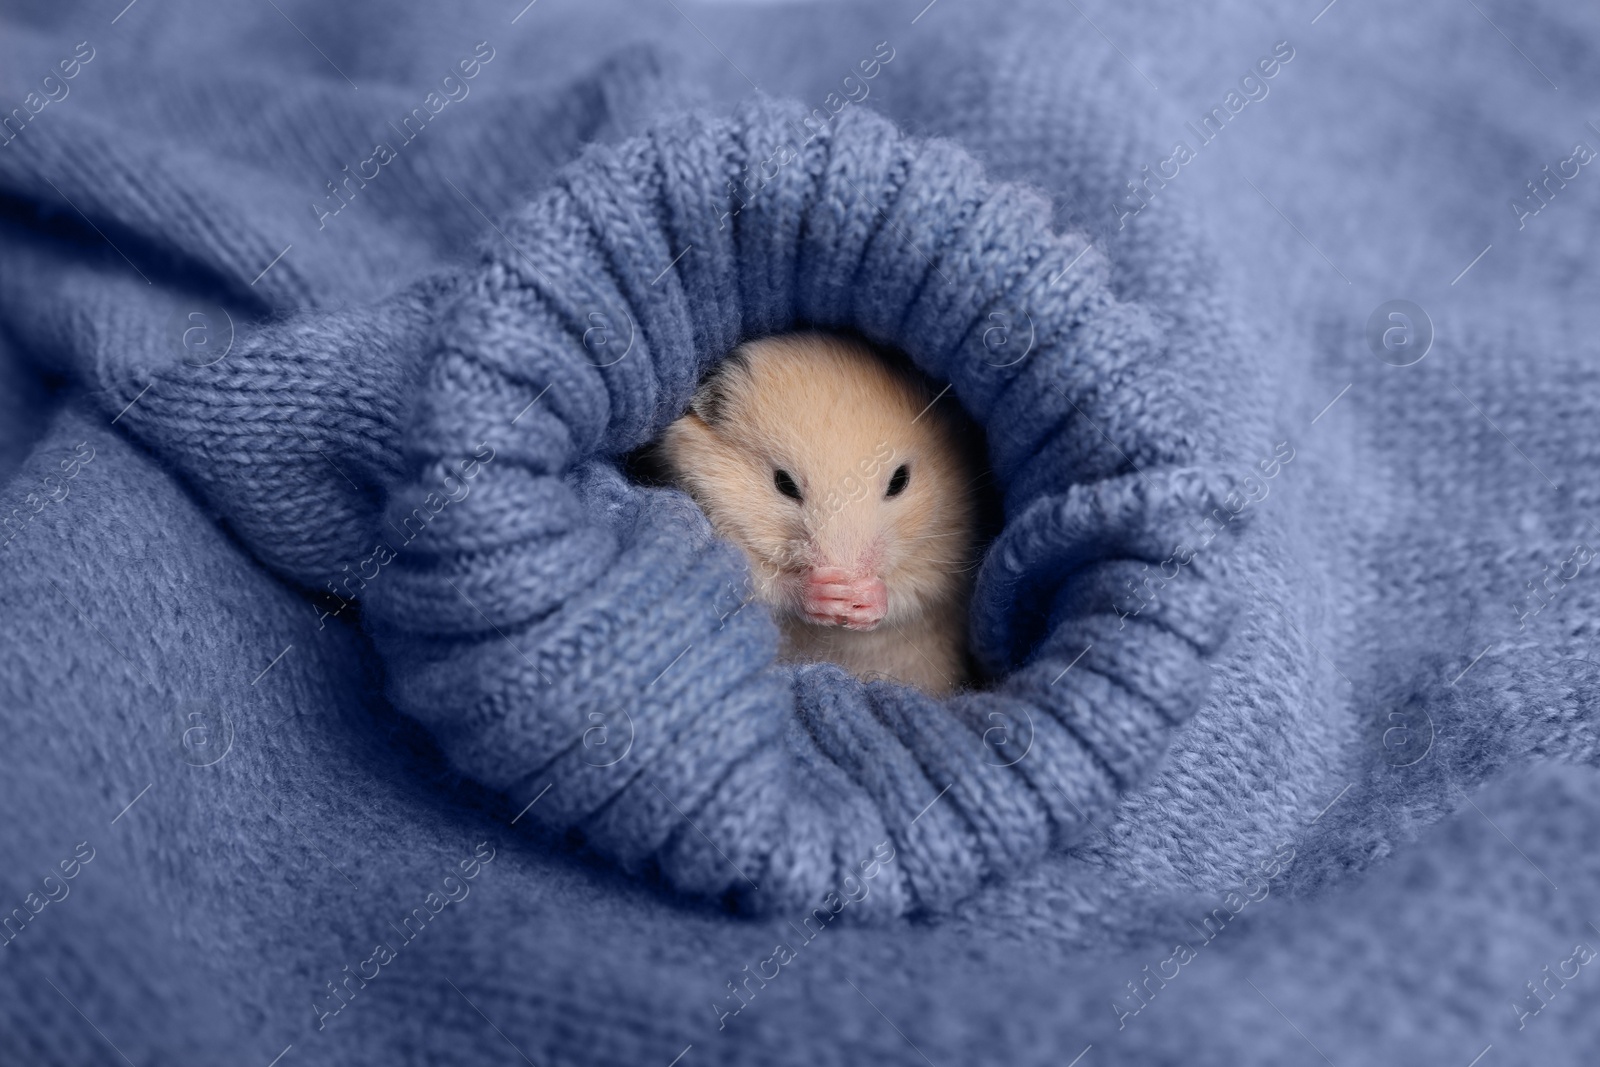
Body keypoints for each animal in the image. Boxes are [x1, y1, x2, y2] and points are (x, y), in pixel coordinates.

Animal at [656, 331, 979, 694]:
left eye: (900, 481)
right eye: (784, 483)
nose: (847, 575)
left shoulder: (949, 549)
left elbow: (913, 588)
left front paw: (862, 598)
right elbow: (763, 581)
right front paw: (828, 595)